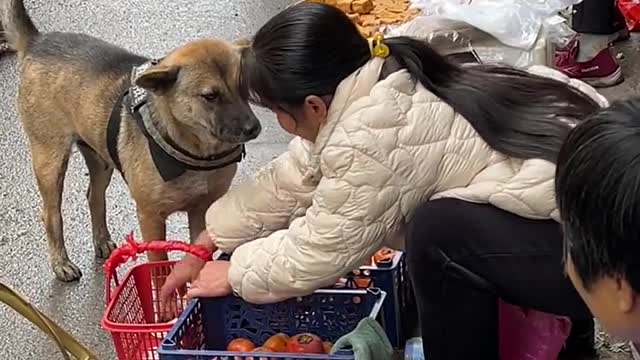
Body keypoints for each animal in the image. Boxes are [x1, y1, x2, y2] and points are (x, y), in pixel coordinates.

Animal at [1, 0, 260, 282]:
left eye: (244, 87)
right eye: (210, 96)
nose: (254, 129)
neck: (196, 152)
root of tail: (39, 41)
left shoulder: (202, 211)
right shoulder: (151, 218)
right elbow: (159, 267)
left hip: (100, 156)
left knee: (94, 196)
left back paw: (101, 241)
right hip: (50, 161)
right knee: (51, 214)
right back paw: (61, 262)